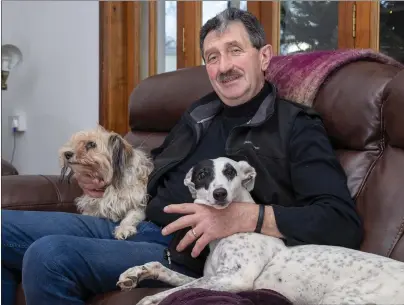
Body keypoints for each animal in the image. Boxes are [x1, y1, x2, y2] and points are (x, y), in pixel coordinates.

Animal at [118, 157, 404, 304]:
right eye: (201, 175)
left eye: (230, 171)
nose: (219, 194)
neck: (225, 235)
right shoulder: (216, 276)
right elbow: (168, 272)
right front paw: (137, 273)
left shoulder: (235, 279)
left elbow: (177, 291)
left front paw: (151, 298)